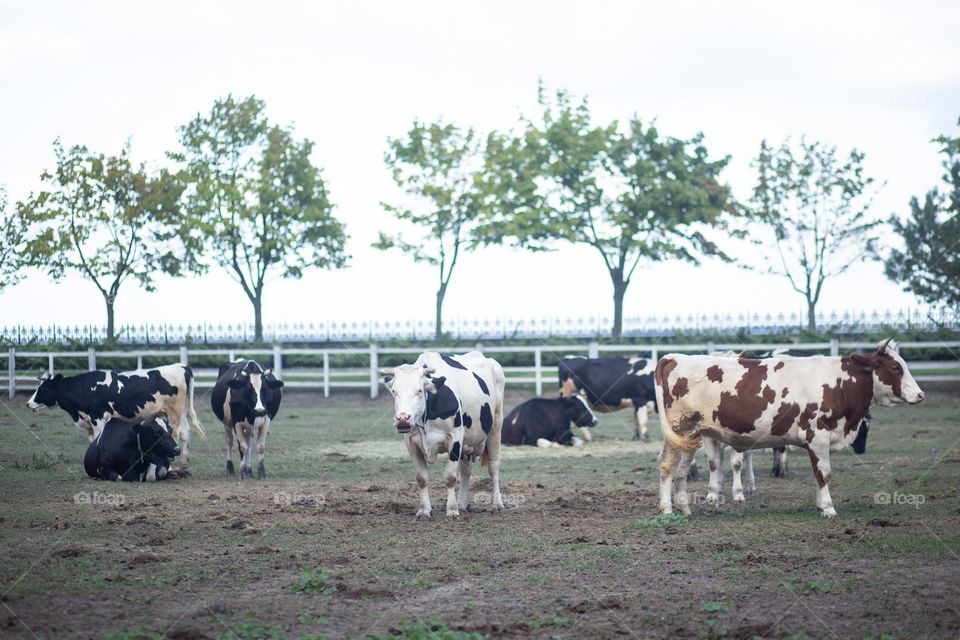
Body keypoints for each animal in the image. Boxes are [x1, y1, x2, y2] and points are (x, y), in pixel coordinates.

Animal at [26, 364, 204, 464]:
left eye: (42, 389)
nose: (28, 404)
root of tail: (182, 366)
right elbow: (91, 441)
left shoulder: (97, 418)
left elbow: (97, 438)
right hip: (181, 414)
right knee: (186, 433)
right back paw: (184, 461)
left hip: (173, 414)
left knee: (175, 434)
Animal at [381, 351, 506, 518]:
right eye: (394, 391)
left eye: (419, 390)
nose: (402, 418)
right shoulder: (411, 442)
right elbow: (422, 478)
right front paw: (424, 510)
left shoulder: (455, 437)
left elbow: (450, 477)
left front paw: (452, 510)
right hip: (468, 442)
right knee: (465, 471)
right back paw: (462, 504)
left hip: (496, 426)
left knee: (493, 467)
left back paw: (496, 504)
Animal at [654, 339, 923, 517]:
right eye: (896, 368)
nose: (920, 394)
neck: (838, 382)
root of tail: (673, 357)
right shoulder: (818, 436)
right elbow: (824, 473)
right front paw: (828, 508)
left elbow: (817, 473)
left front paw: (819, 504)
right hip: (680, 430)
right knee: (667, 464)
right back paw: (667, 509)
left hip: (690, 436)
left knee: (681, 470)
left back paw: (684, 507)